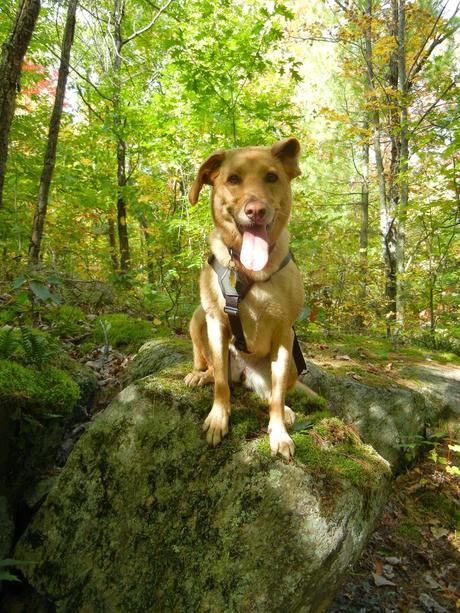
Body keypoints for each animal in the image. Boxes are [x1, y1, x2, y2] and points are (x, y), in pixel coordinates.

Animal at [184, 136, 310, 456]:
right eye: (233, 179)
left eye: (271, 177)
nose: (256, 210)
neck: (246, 269)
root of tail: (242, 373)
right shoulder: (216, 322)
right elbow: (220, 385)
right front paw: (218, 419)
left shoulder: (284, 335)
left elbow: (276, 396)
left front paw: (279, 434)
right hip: (198, 318)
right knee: (214, 370)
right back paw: (200, 374)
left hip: (293, 364)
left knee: (270, 393)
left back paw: (286, 412)